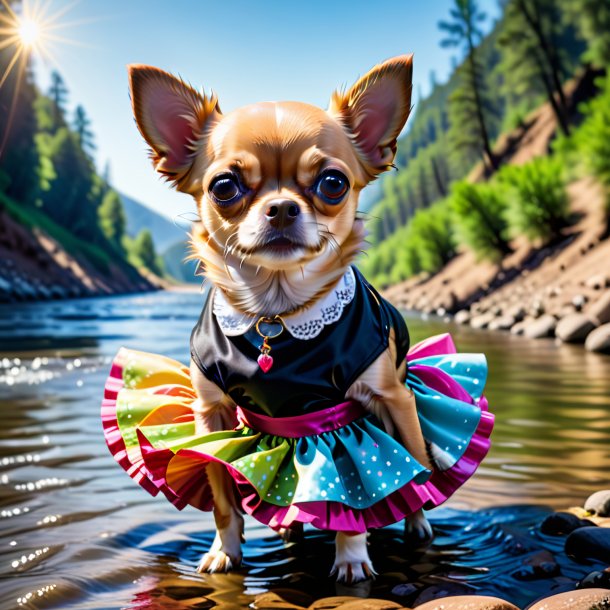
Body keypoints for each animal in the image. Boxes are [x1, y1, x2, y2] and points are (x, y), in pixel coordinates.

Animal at [126, 55, 434, 580]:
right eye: (224, 186)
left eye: (333, 182)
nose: (283, 207)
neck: (276, 315)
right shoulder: (213, 416)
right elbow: (223, 501)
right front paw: (224, 552)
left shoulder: (354, 411)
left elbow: (354, 491)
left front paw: (352, 559)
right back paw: (290, 529)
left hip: (401, 409)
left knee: (416, 475)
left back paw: (418, 526)